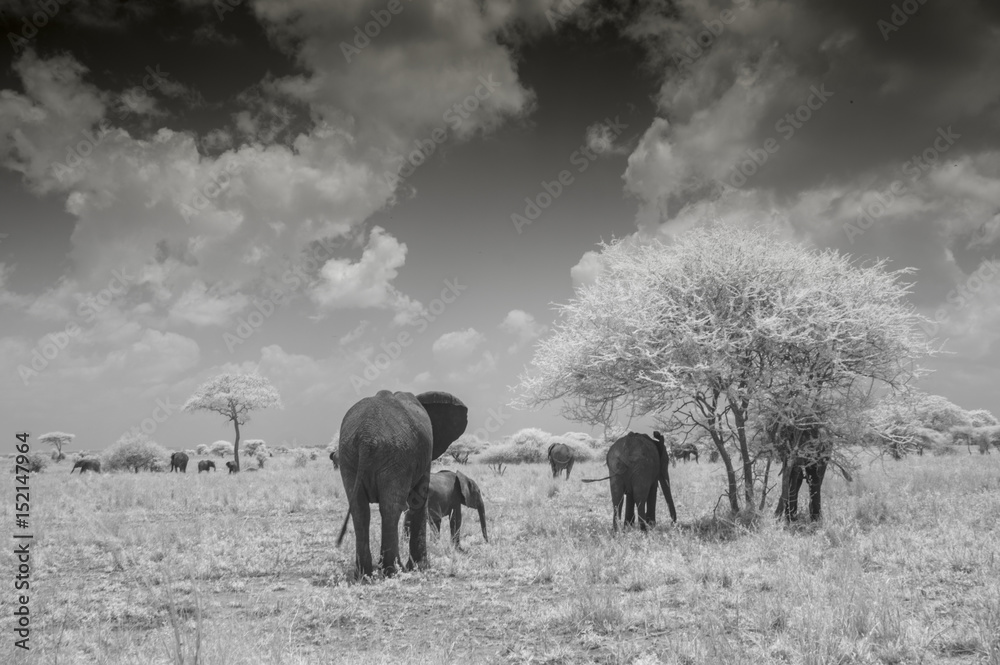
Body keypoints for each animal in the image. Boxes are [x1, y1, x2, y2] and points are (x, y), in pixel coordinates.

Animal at [336, 390, 468, 578]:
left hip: (350, 457)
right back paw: (393, 570)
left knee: (360, 510)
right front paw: (421, 567)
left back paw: (364, 574)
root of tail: (366, 436)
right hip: (396, 456)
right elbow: (419, 500)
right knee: (390, 508)